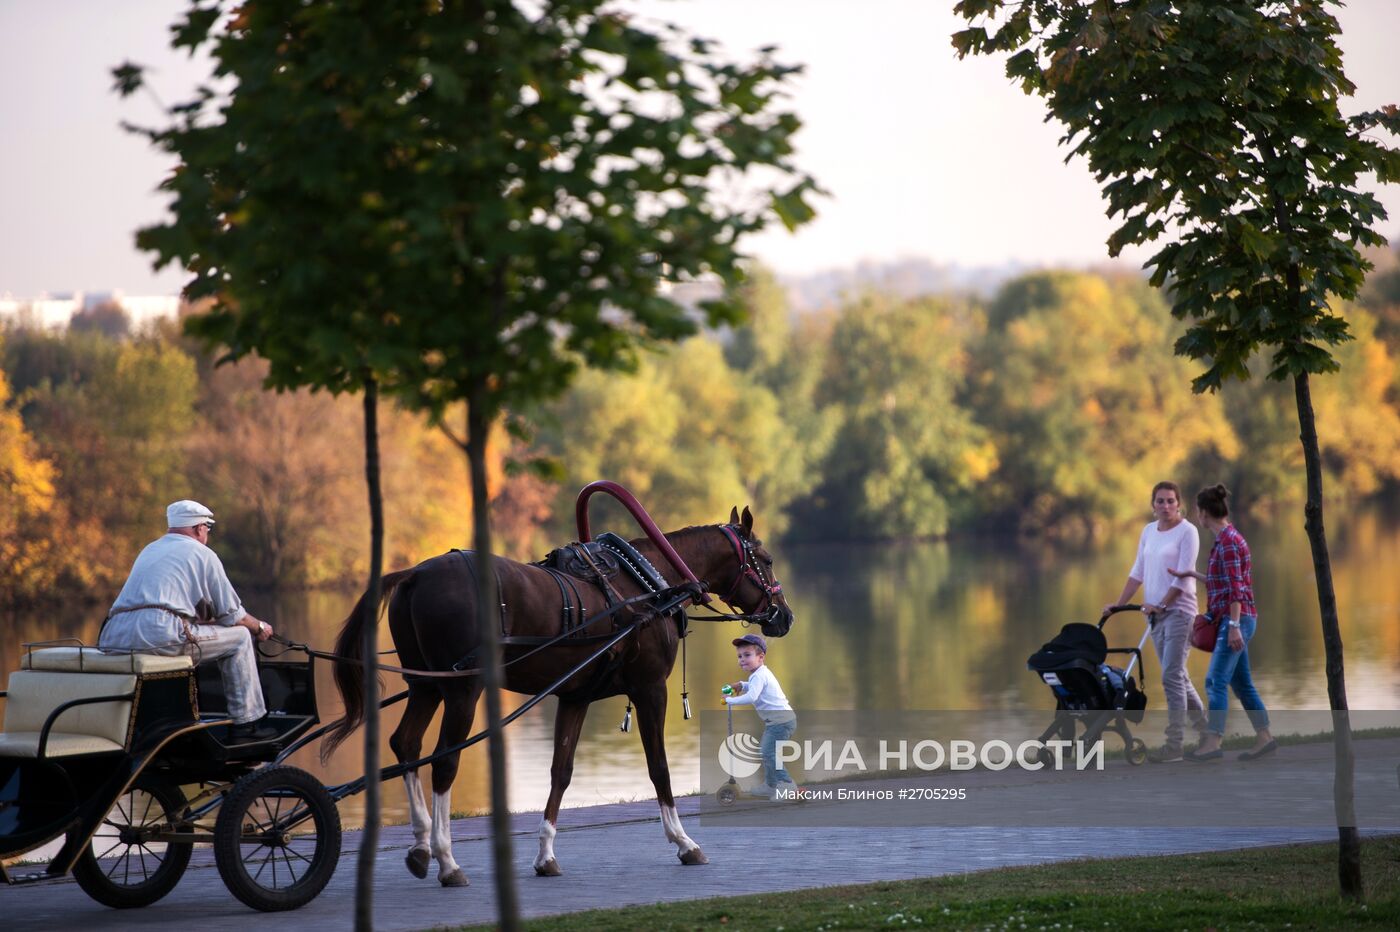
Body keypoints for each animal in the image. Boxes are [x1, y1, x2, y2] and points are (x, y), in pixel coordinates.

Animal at [320, 503, 795, 884]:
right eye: (767, 559)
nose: (784, 615)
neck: (645, 584)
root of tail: (415, 573)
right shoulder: (650, 690)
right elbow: (659, 768)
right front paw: (683, 841)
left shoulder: (574, 698)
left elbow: (560, 772)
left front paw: (546, 854)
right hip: (461, 690)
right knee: (443, 761)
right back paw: (446, 860)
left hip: (425, 686)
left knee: (406, 745)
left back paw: (420, 847)